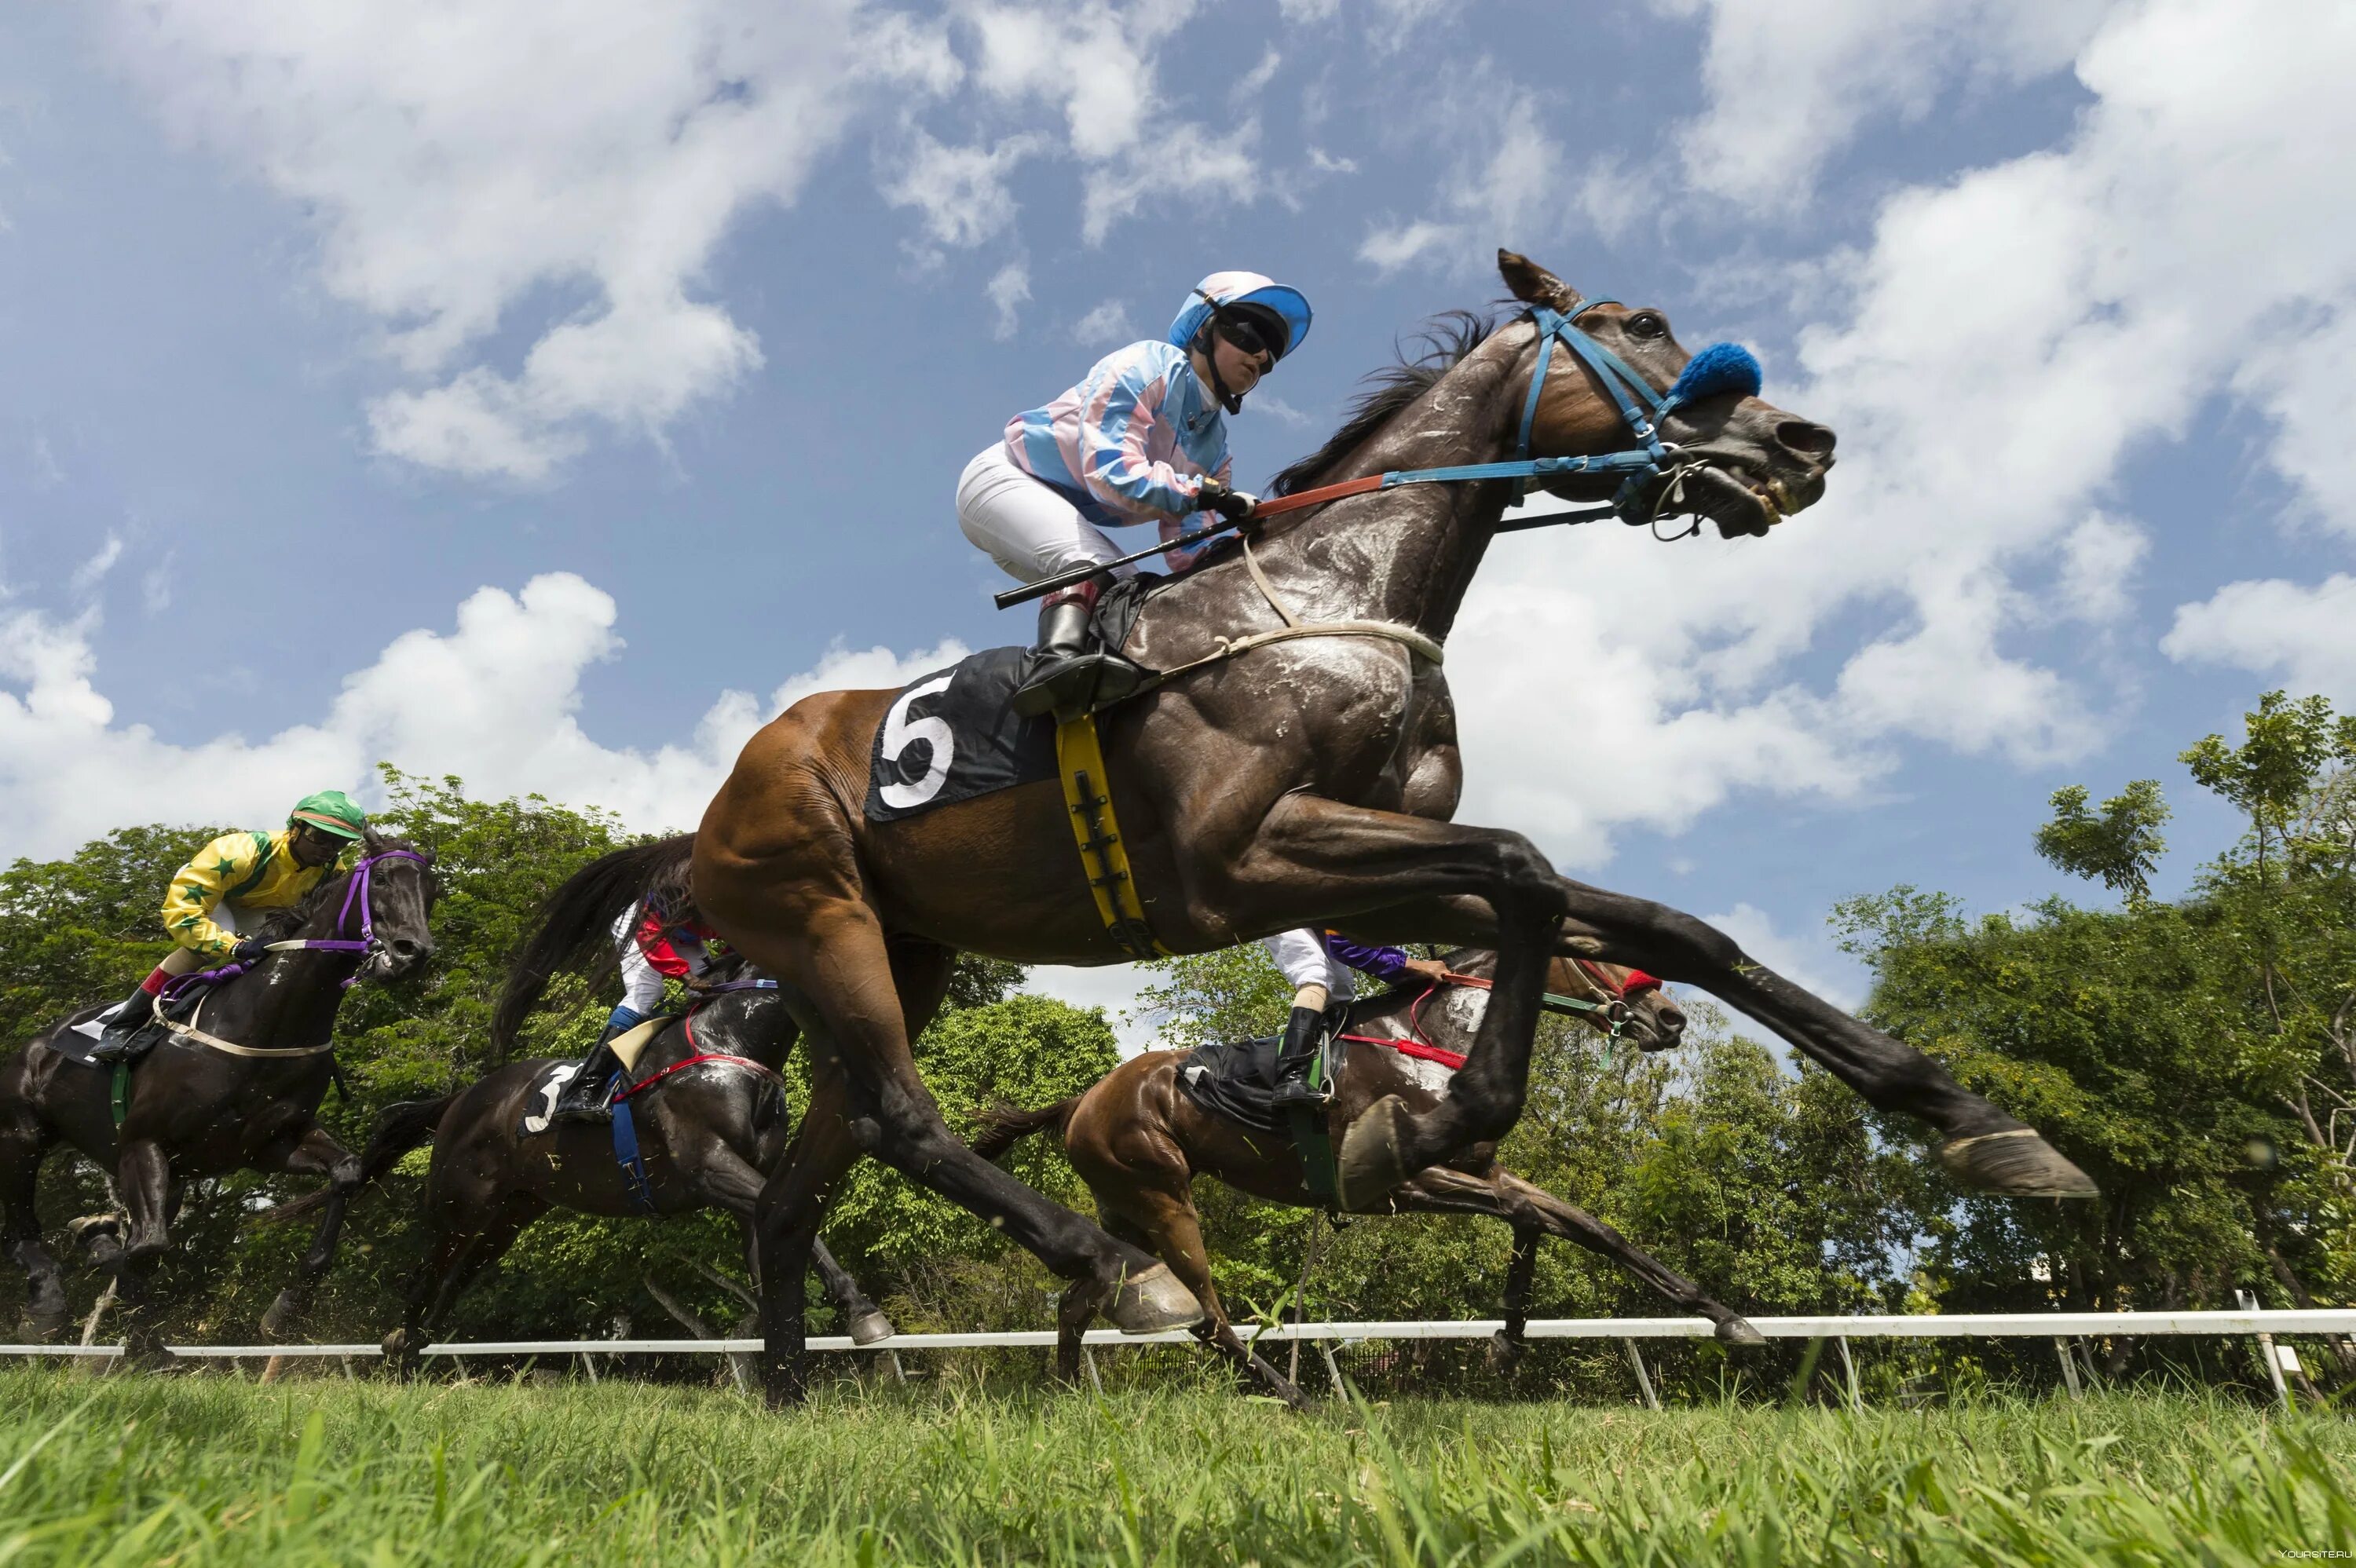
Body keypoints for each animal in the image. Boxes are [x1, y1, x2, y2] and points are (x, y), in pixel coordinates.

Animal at [0, 828, 438, 1356]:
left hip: (166, 1176)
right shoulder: (143, 1141)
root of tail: (40, 1041)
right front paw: (99, 1247)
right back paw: (47, 1304)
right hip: (22, 1134)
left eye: (433, 890)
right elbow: (146, 1248)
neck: (262, 1027)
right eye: (384, 879)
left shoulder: (266, 1145)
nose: (412, 953)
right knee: (24, 1228)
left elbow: (348, 1173)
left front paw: (287, 1309)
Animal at [975, 946, 1772, 1394]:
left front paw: (1728, 1318)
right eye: (1593, 949)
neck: (1439, 1039)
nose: (1670, 1019)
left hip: (1126, 1211)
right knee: (1209, 1315)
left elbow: (1584, 1227)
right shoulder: (1403, 1183)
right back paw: (1294, 1394)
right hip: (1165, 1197)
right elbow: (1530, 1218)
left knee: (1080, 1302)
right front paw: (1507, 1340)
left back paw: (1071, 1398)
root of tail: (1082, 1098)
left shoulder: (1482, 1169)